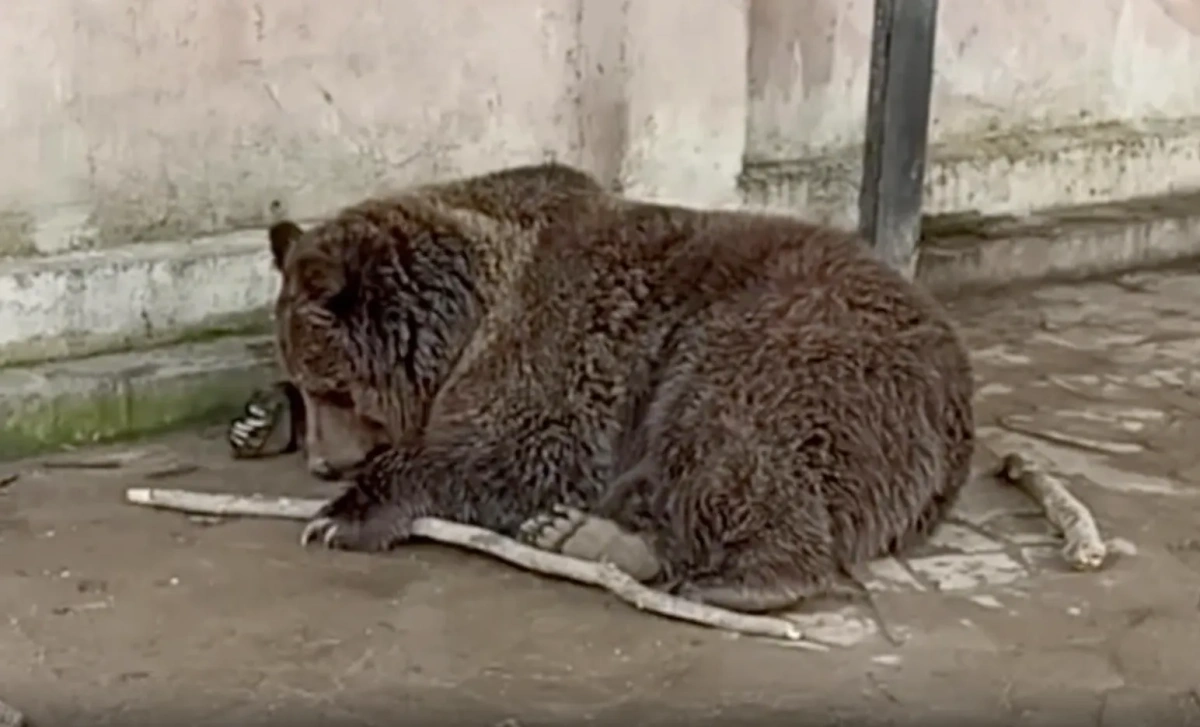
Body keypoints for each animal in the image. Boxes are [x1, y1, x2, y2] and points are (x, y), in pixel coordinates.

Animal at [265, 164, 974, 614]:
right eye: (303, 384)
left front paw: (341, 517)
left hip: (777, 345)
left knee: (730, 443)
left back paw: (741, 578)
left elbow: (518, 451)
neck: (466, 318)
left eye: (330, 387)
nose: (323, 463)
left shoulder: (554, 344)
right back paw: (583, 534)